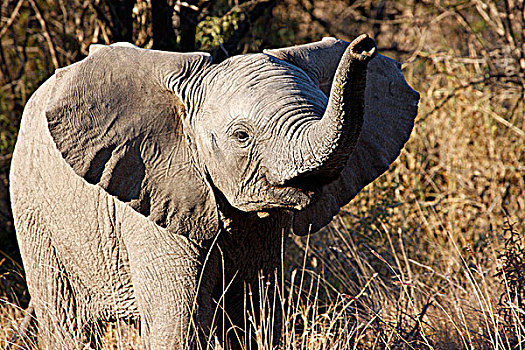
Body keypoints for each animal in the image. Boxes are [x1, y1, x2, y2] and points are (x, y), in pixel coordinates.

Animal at [9, 33, 418, 350]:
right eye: (241, 136)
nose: (364, 45)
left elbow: (255, 311)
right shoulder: (158, 197)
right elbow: (180, 325)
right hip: (34, 212)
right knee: (66, 322)